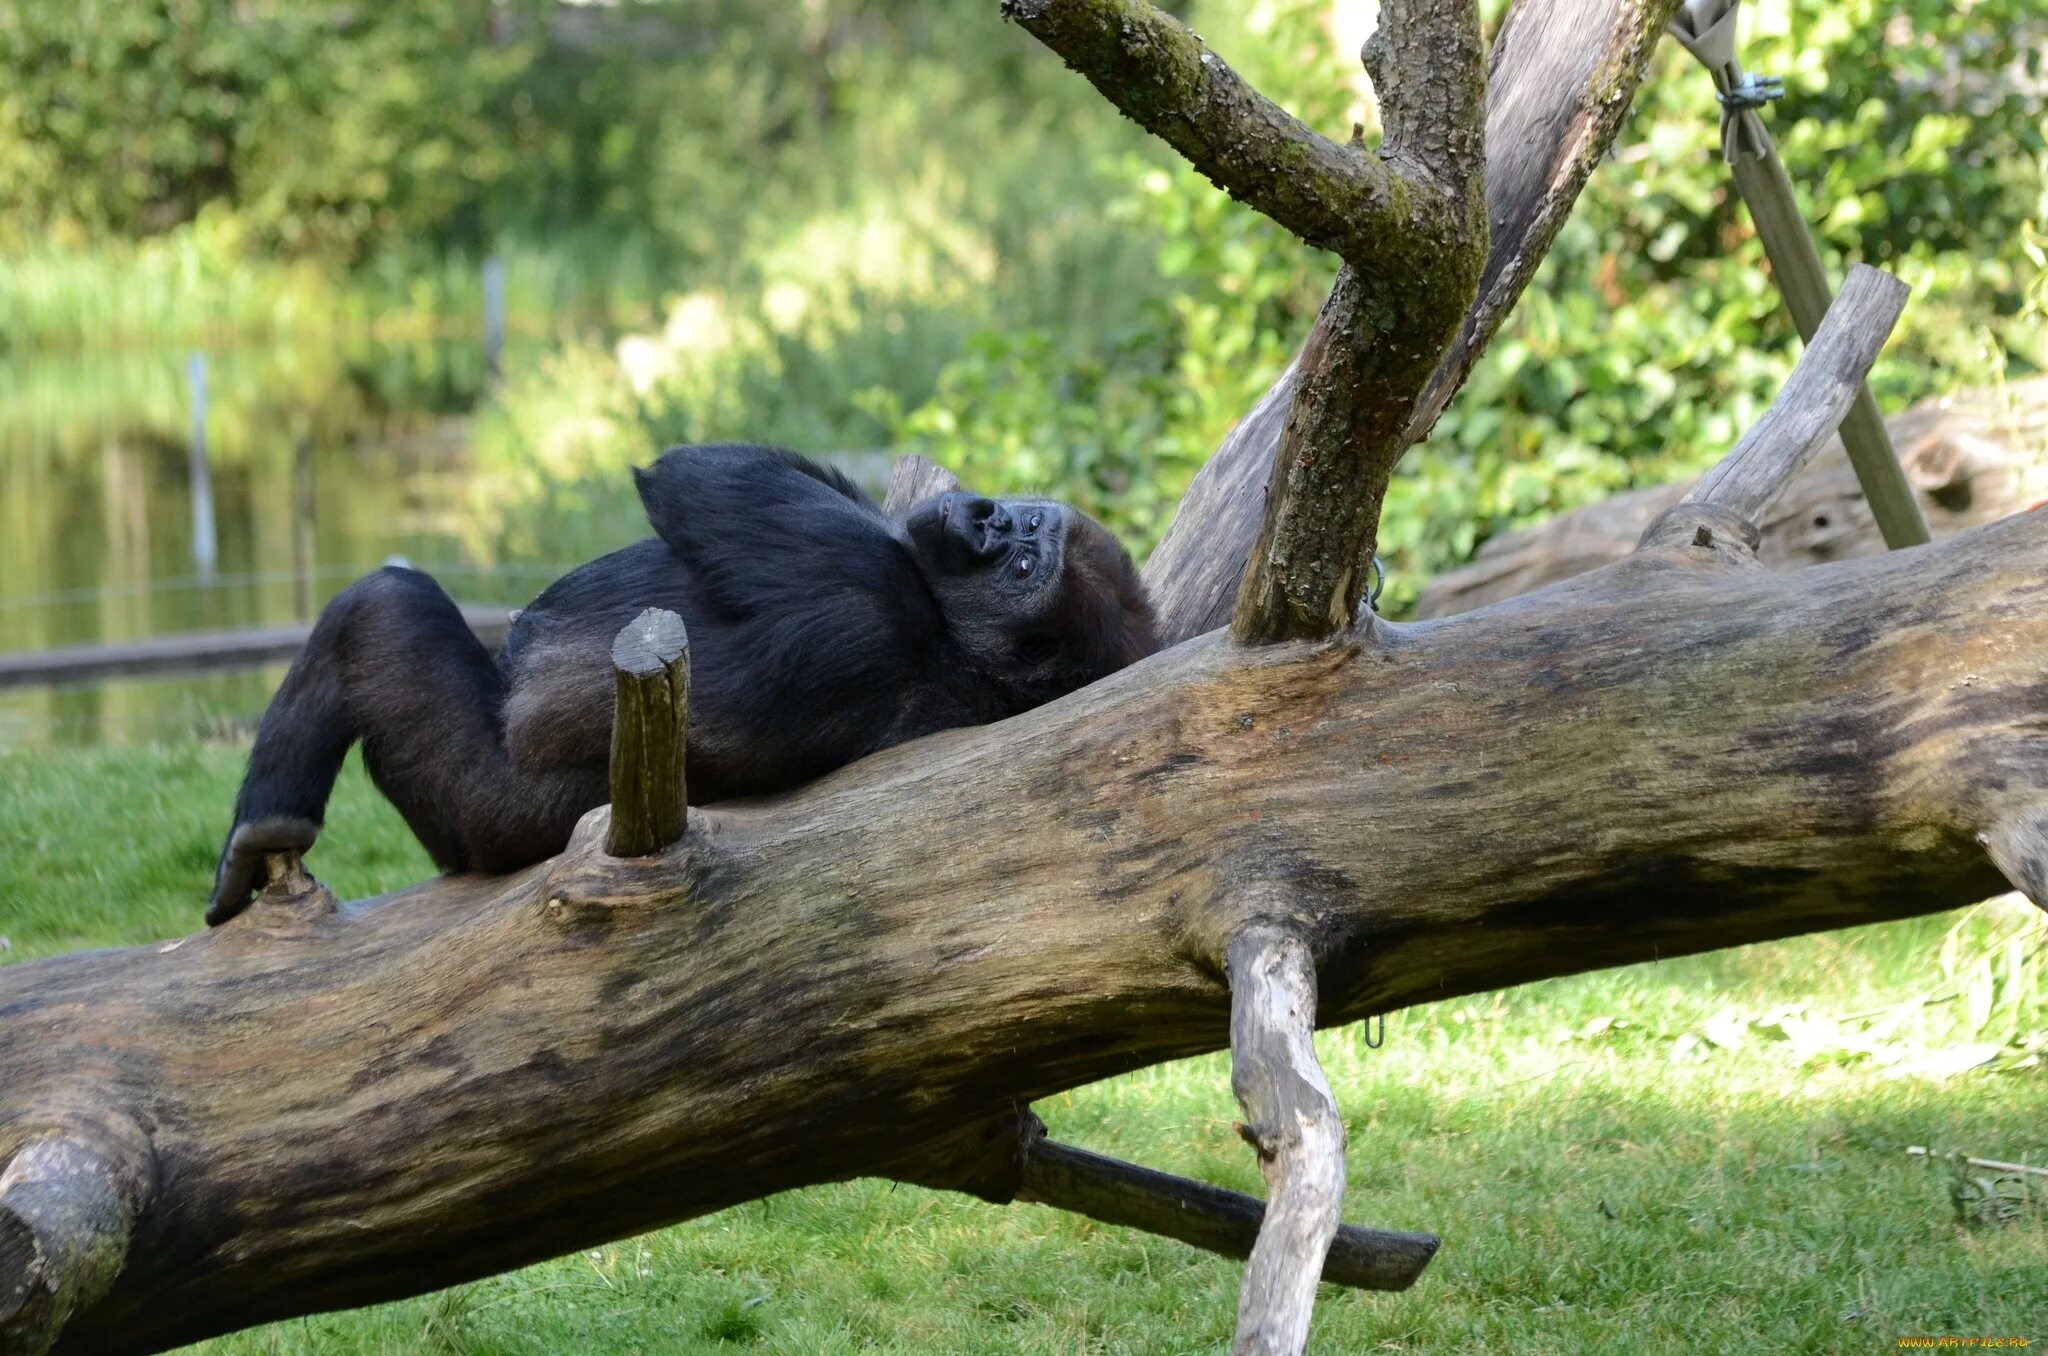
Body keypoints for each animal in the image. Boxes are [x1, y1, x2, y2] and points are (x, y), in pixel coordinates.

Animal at [214, 444, 1163, 925]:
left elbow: (702, 477)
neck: (964, 650)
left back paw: (265, 831)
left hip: (468, 820)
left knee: (381, 610)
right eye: (1025, 527)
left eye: (1025, 566)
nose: (986, 520)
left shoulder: (870, 597)